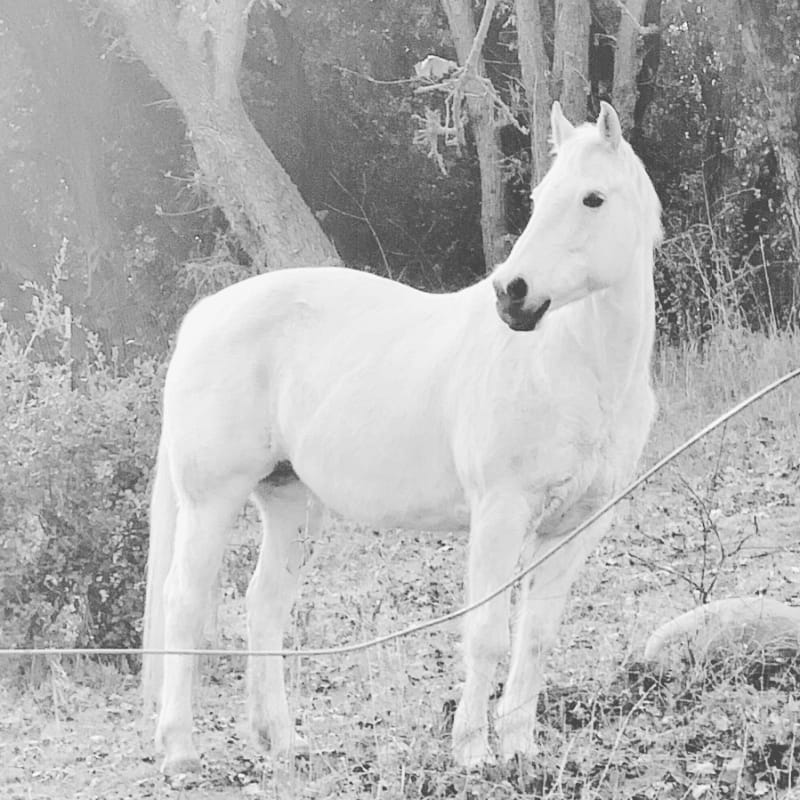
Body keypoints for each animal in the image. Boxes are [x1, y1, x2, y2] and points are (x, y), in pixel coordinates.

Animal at [142, 100, 662, 774]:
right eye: (541, 197)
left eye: (592, 198)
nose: (511, 295)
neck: (575, 366)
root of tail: (202, 317)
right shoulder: (499, 515)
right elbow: (487, 634)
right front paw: (472, 752)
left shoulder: (575, 527)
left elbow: (537, 636)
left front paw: (520, 748)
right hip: (211, 502)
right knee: (184, 604)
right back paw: (180, 750)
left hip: (289, 503)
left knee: (265, 606)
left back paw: (282, 740)